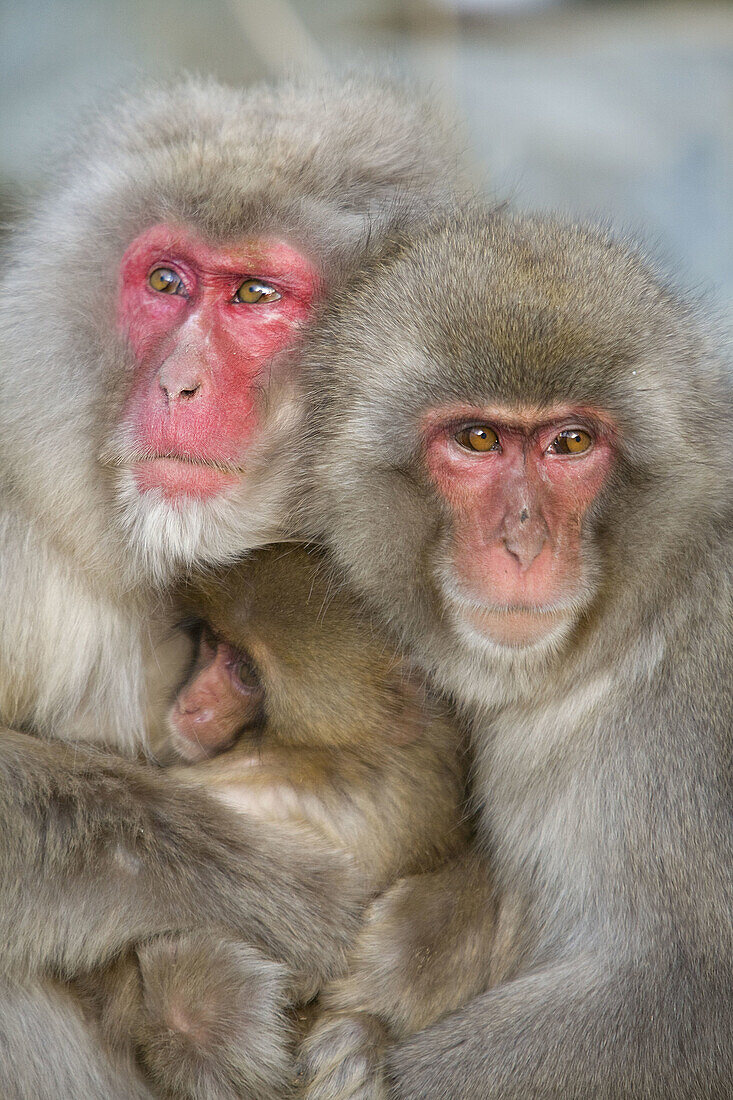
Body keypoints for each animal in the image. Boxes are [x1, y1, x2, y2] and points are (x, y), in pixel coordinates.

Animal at [297, 207, 730, 1100]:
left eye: (570, 442)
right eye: (477, 438)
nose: (523, 544)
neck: (645, 617)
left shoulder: (692, 730)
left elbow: (691, 996)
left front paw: (362, 1059)